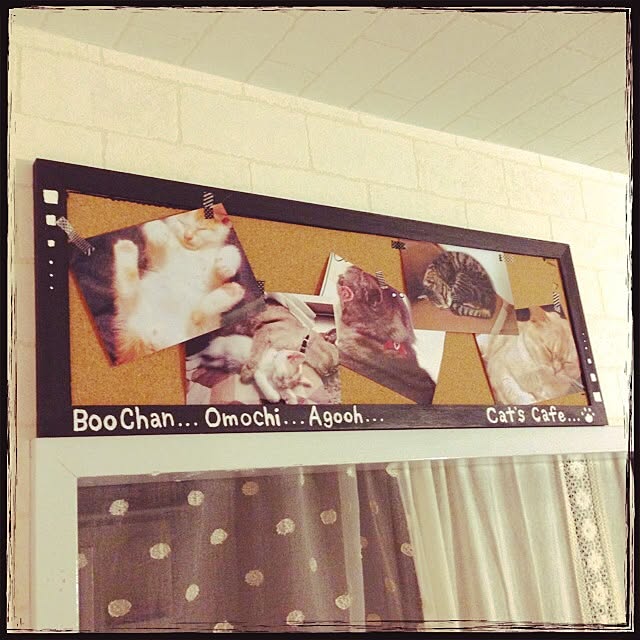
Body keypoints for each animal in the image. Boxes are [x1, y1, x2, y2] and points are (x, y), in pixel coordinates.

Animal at [112, 209, 246, 364]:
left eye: (202, 229)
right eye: (182, 223)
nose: (187, 236)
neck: (192, 251)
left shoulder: (212, 279)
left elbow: (232, 249)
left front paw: (226, 264)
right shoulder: (159, 261)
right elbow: (154, 233)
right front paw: (157, 229)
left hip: (205, 324)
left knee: (198, 315)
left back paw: (230, 292)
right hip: (132, 313)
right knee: (128, 293)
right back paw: (126, 251)